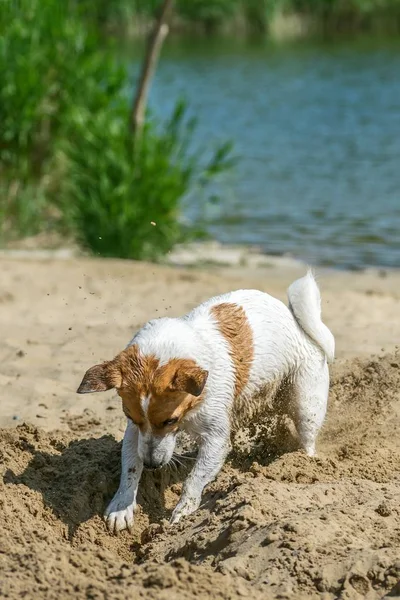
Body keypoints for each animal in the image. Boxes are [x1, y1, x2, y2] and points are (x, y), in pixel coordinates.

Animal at [78, 270, 334, 532]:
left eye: (170, 421)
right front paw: (122, 506)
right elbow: (130, 465)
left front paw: (183, 511)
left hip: (307, 406)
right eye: (130, 416)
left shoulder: (216, 440)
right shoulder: (134, 432)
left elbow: (194, 479)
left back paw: (303, 463)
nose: (151, 465)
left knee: (308, 438)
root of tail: (299, 325)